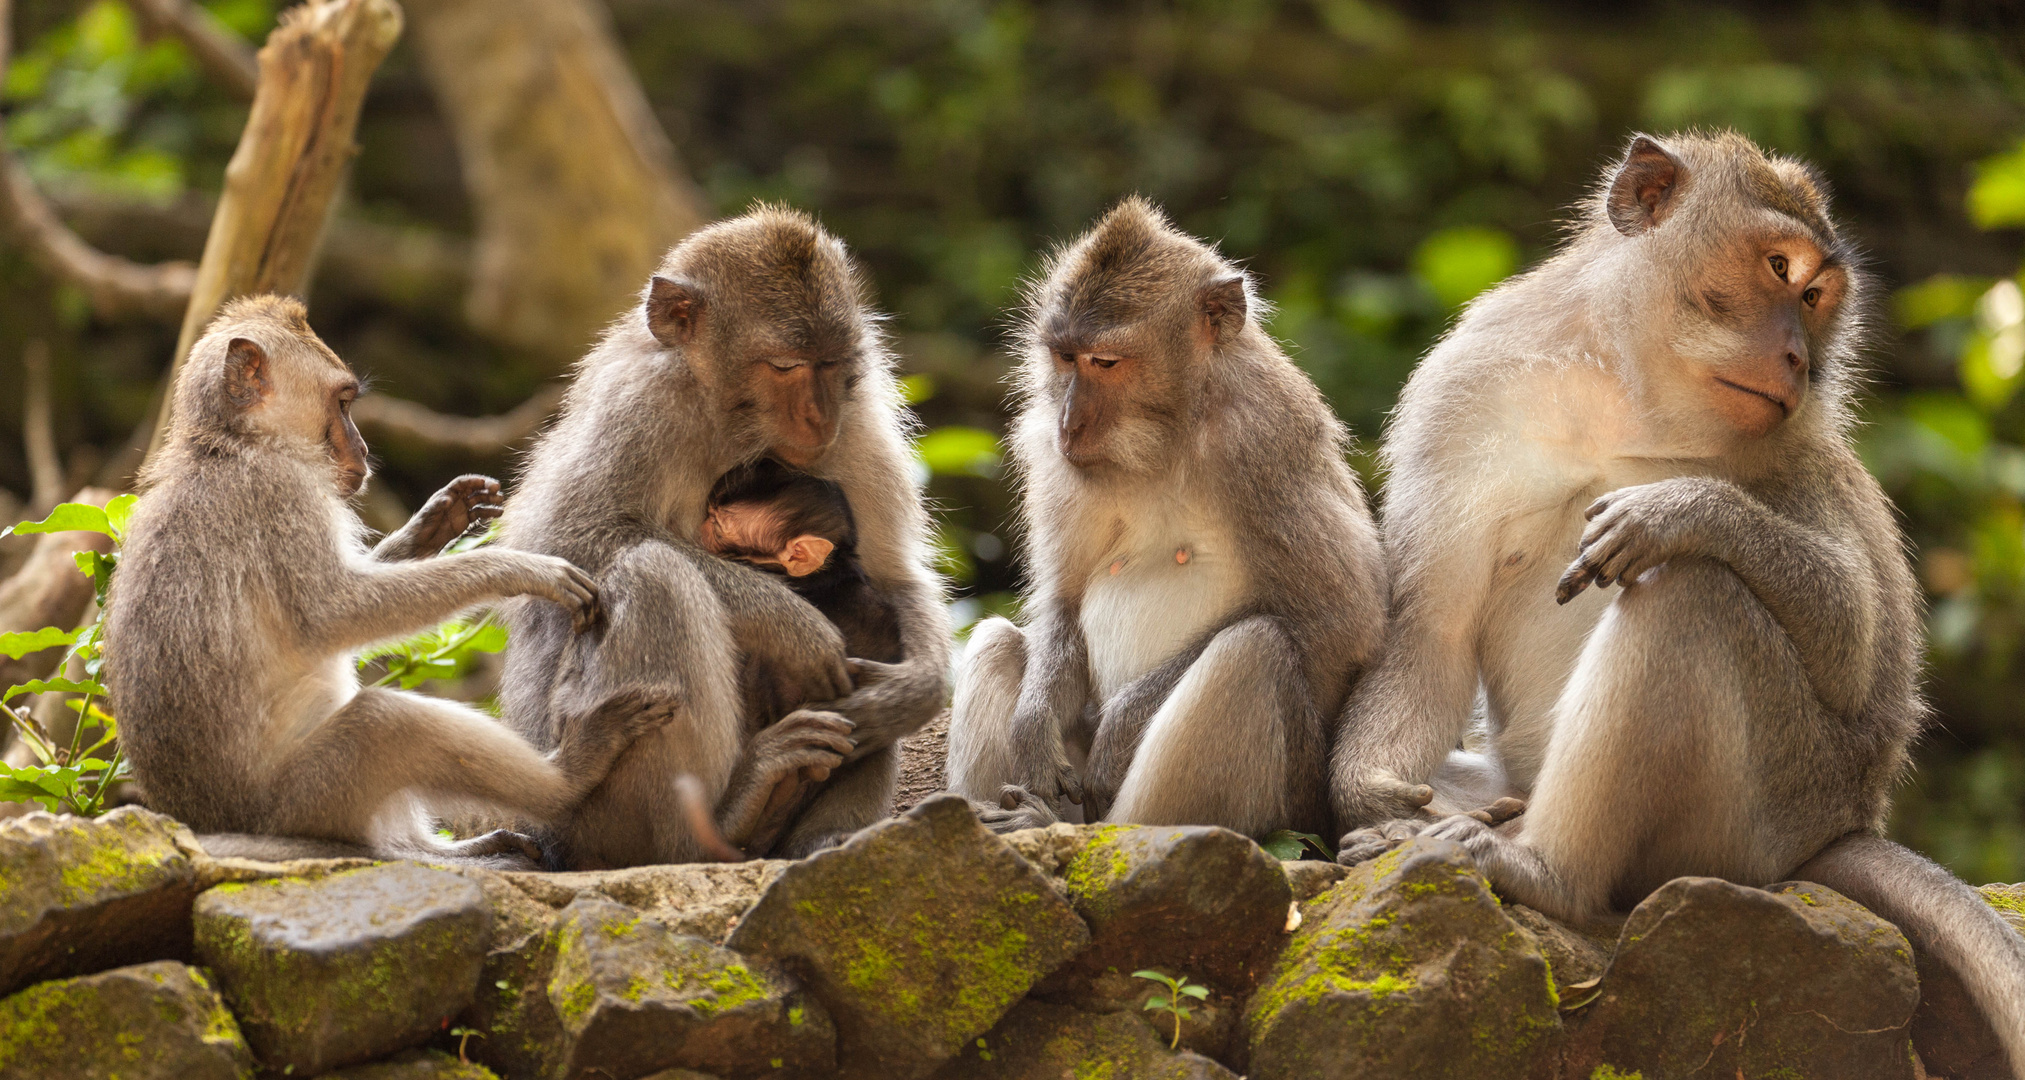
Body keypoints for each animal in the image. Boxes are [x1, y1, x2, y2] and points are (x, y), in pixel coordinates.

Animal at [104, 297, 672, 867]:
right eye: (342, 403)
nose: (363, 450)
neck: (230, 442)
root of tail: (202, 820)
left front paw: (436, 521)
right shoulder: (282, 493)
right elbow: (335, 613)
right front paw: (517, 568)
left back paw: (446, 849)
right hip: (306, 799)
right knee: (388, 722)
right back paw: (569, 774)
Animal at [502, 206, 951, 867]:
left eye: (832, 364)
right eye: (786, 367)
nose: (820, 416)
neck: (727, 417)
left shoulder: (858, 420)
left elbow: (895, 576)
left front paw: (913, 692)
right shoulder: (639, 406)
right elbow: (571, 540)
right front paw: (793, 625)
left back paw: (821, 838)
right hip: (582, 815)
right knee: (652, 572)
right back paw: (721, 821)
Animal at [939, 197, 1385, 838]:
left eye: (1105, 361)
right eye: (1064, 357)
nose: (1069, 422)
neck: (1168, 436)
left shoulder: (1264, 441)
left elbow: (1342, 619)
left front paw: (1123, 726)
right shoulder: (1051, 457)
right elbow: (1062, 601)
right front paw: (1032, 725)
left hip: (1288, 808)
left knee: (1252, 649)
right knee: (998, 640)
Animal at [1328, 130, 2025, 1061]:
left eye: (1813, 297)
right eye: (1778, 268)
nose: (1799, 358)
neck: (1627, 401)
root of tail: (1842, 825)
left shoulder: (1797, 450)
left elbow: (1857, 657)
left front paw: (1680, 511)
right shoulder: (1464, 389)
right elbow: (1430, 627)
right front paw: (1369, 793)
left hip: (1761, 808)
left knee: (1691, 597)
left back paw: (1544, 871)